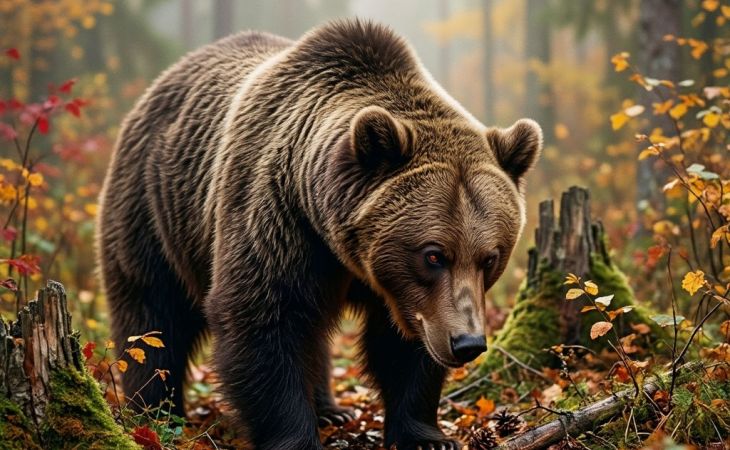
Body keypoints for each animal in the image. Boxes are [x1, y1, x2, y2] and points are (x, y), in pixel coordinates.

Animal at [97, 20, 541, 450]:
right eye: (433, 254)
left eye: (489, 257)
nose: (467, 343)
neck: (339, 243)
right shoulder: (277, 220)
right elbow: (261, 319)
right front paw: (296, 437)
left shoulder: (402, 293)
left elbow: (404, 345)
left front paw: (426, 437)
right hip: (153, 207)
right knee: (151, 312)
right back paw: (155, 414)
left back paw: (331, 411)